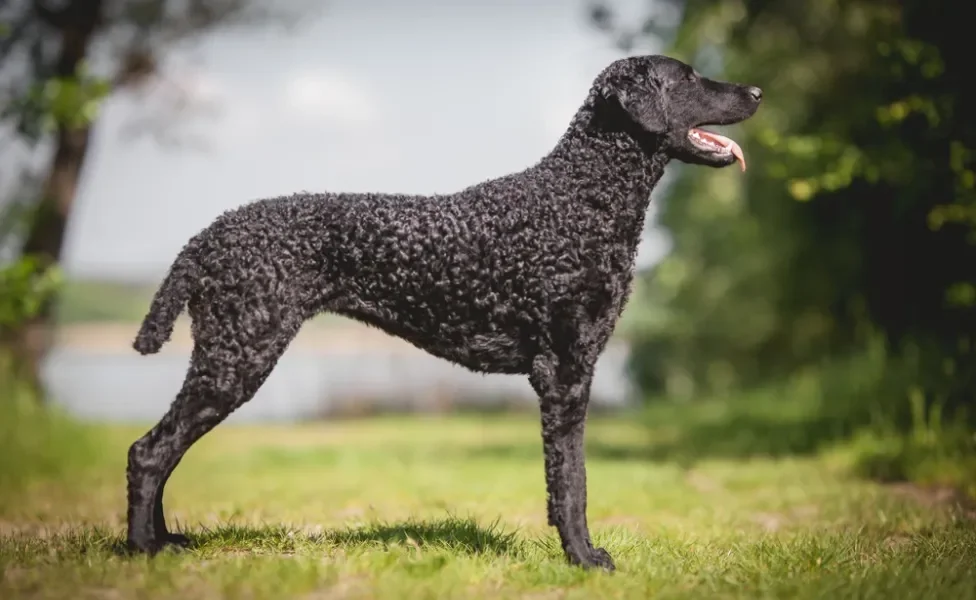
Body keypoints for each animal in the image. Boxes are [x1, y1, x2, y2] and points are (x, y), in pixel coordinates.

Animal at [127, 54, 764, 568]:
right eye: (687, 76)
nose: (758, 91)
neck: (580, 196)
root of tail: (207, 237)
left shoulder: (573, 366)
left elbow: (569, 478)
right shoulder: (564, 370)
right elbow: (572, 480)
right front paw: (584, 559)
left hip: (228, 357)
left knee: (159, 449)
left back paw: (166, 542)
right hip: (238, 355)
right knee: (150, 451)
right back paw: (141, 551)